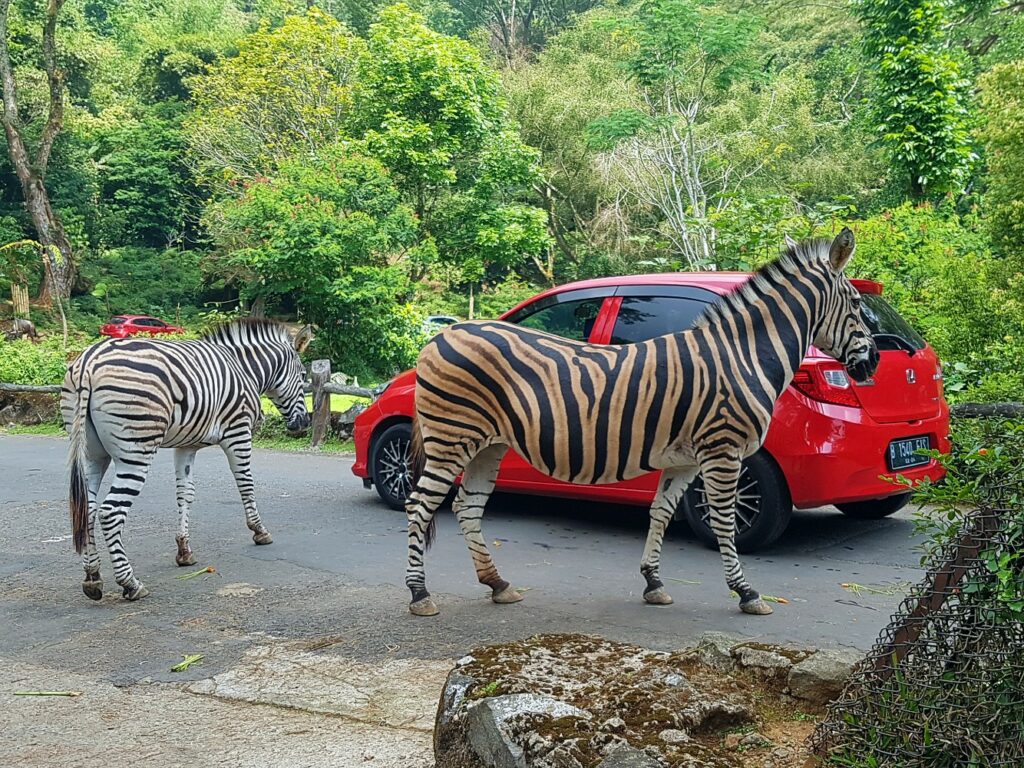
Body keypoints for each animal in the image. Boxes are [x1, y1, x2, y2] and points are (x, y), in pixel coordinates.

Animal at [62, 317, 311, 602]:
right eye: (304, 376)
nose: (304, 424)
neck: (244, 369)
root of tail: (89, 362)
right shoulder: (238, 431)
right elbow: (246, 484)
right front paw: (259, 531)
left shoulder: (186, 445)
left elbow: (185, 493)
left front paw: (184, 551)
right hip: (135, 450)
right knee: (110, 512)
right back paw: (130, 583)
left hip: (92, 453)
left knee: (89, 508)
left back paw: (93, 577)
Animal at [405, 228, 880, 618]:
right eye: (858, 305)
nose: (875, 361)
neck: (743, 357)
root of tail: (441, 335)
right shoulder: (723, 450)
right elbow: (724, 522)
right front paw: (746, 592)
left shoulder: (686, 459)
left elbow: (661, 512)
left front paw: (653, 582)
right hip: (452, 439)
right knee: (418, 504)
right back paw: (419, 594)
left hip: (488, 445)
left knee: (467, 507)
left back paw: (498, 584)